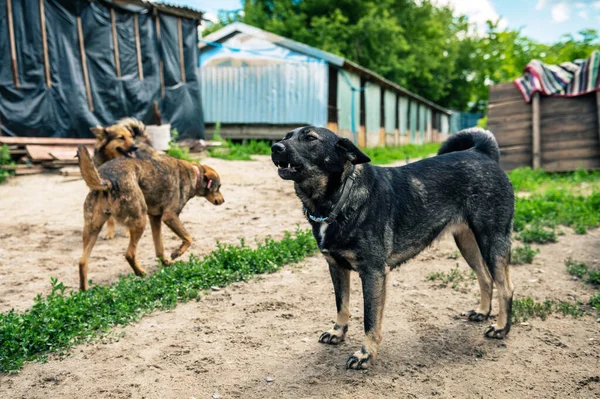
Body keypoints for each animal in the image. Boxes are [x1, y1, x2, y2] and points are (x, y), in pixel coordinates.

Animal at [76, 145, 224, 292]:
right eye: (218, 187)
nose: (223, 201)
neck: (195, 173)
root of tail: (107, 181)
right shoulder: (170, 216)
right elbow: (188, 238)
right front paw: (177, 253)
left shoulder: (155, 218)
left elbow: (159, 248)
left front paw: (166, 262)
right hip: (140, 221)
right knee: (129, 254)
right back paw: (141, 272)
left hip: (92, 229)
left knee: (82, 261)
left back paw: (85, 291)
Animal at [272, 126, 516, 370]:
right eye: (286, 136)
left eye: (310, 138)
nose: (275, 147)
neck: (341, 198)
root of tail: (481, 152)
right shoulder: (336, 267)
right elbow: (342, 304)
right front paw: (338, 332)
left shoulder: (373, 273)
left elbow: (370, 319)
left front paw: (365, 354)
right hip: (467, 243)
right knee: (485, 278)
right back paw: (483, 312)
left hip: (492, 240)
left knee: (506, 286)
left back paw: (501, 328)